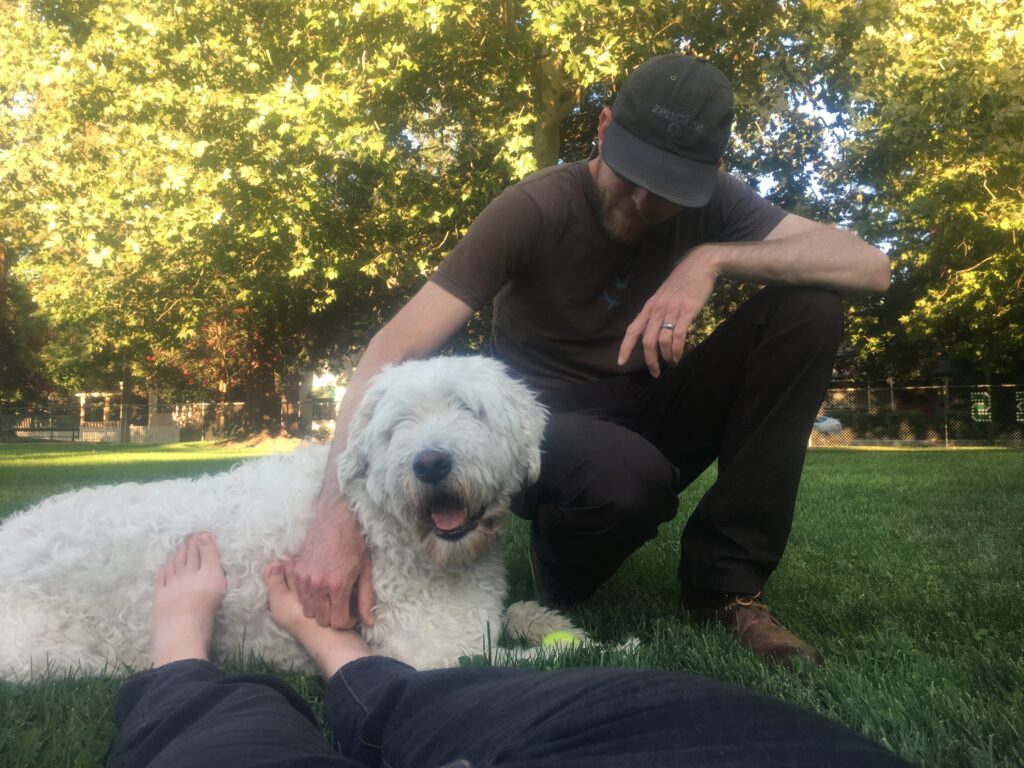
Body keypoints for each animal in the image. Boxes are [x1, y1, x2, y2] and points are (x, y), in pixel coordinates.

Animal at [0, 354, 577, 679]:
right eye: (397, 426)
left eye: (468, 408)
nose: (430, 462)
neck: (377, 522)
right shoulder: (435, 654)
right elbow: (556, 659)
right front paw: (594, 641)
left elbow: (525, 618)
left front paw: (549, 620)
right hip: (48, 658)